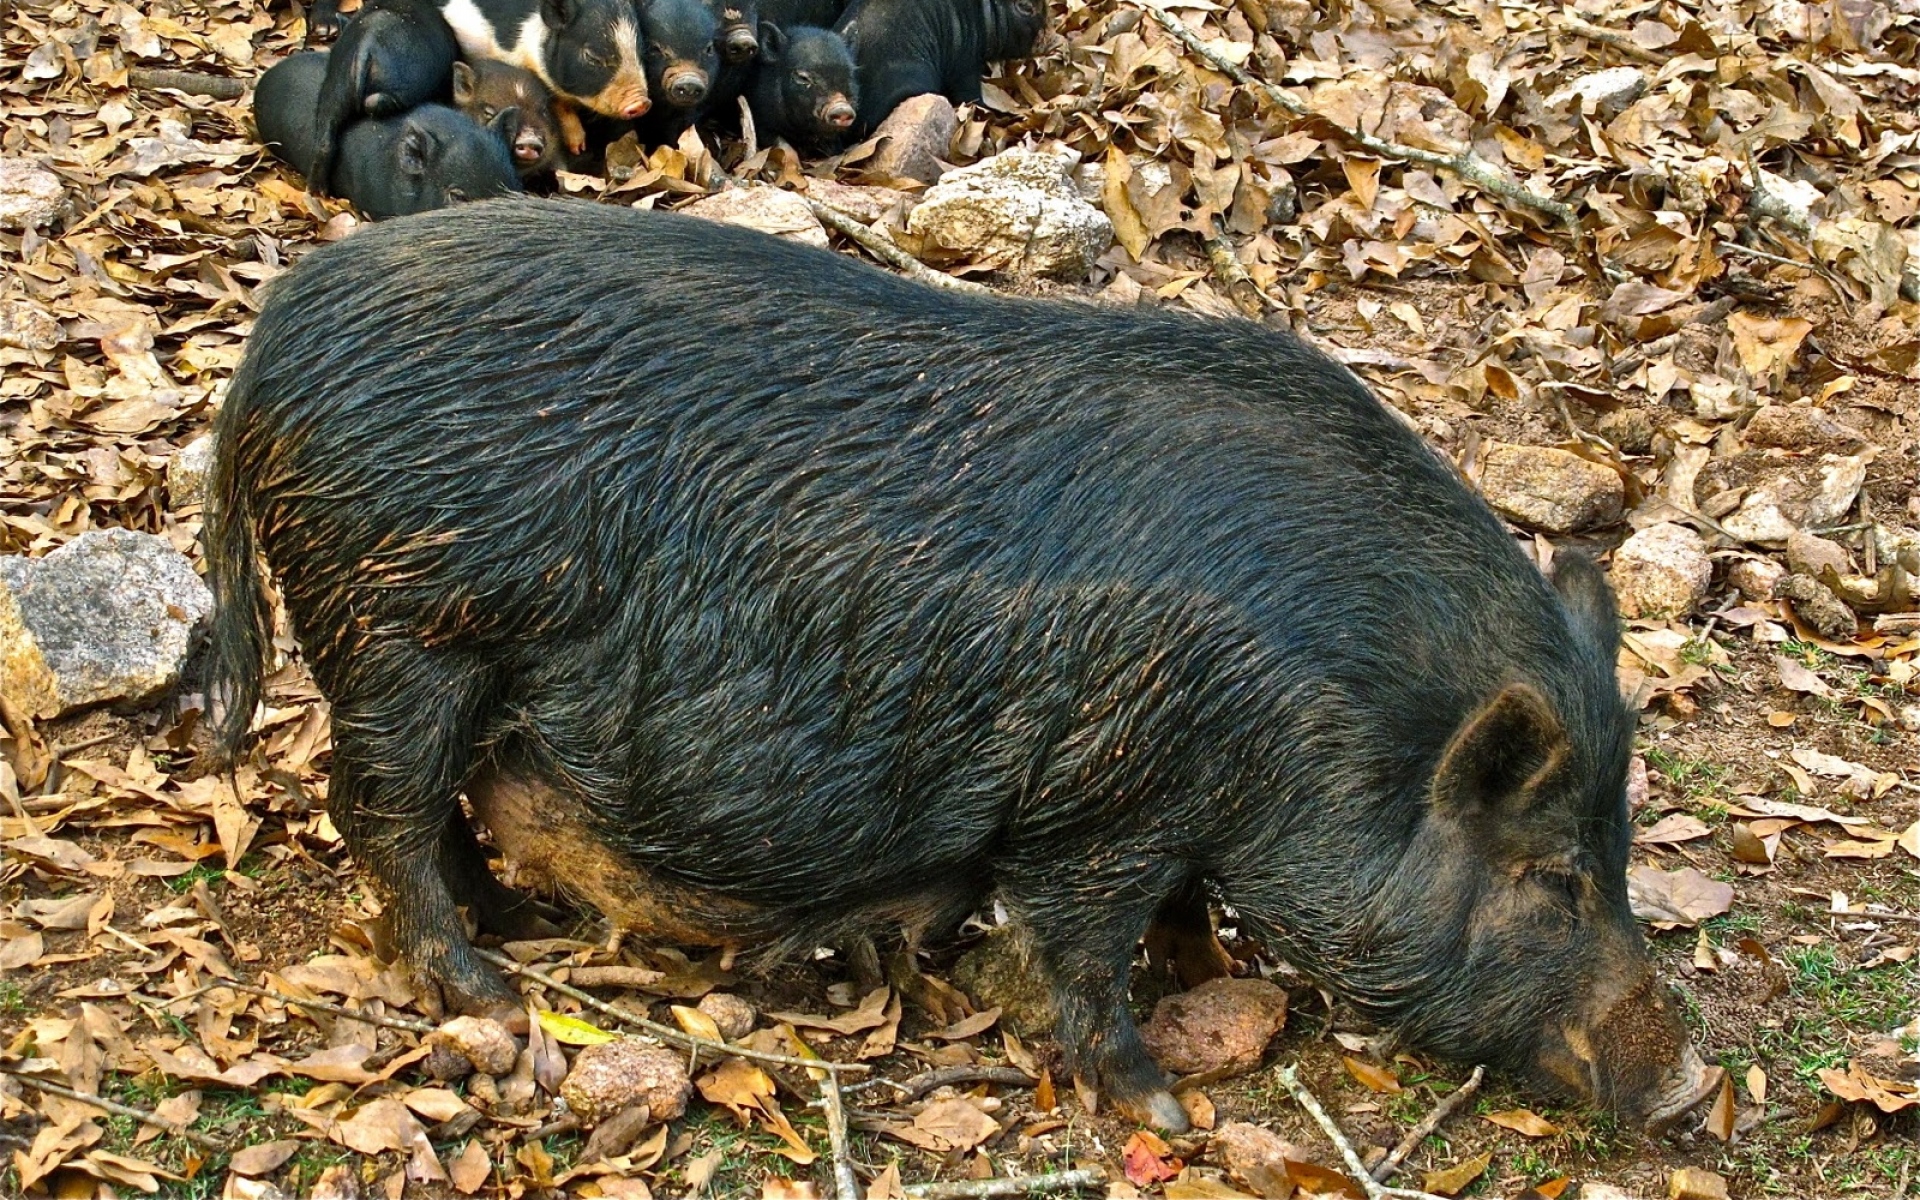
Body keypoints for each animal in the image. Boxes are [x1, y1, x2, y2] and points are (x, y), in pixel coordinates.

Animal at [210, 196, 1728, 1128]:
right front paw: (1163, 1100)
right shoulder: (1107, 800)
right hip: (401, 626)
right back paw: (484, 989)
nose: (1686, 1092)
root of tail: (271, 342)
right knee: (379, 808)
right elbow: (1086, 949)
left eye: (1618, 856)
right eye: (1554, 875)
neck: (1322, 718)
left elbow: (1174, 919)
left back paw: (506, 925)